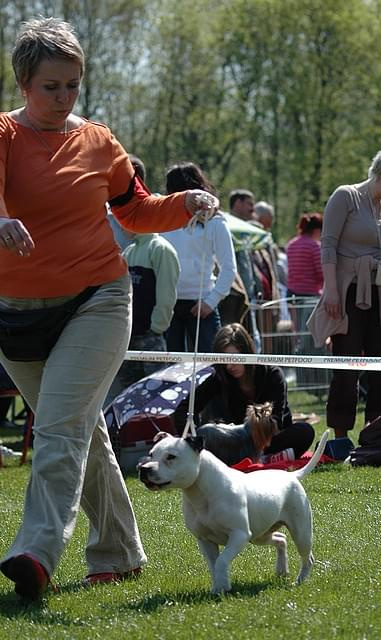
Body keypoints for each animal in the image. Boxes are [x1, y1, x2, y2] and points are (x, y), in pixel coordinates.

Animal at [138, 430, 328, 596]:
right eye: (151, 454)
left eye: (171, 456)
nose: (143, 468)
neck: (201, 492)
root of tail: (291, 476)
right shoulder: (205, 540)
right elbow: (214, 565)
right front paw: (219, 587)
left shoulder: (239, 535)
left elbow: (222, 560)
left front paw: (222, 586)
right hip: (259, 535)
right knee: (281, 539)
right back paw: (282, 570)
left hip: (301, 533)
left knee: (307, 557)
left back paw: (300, 580)